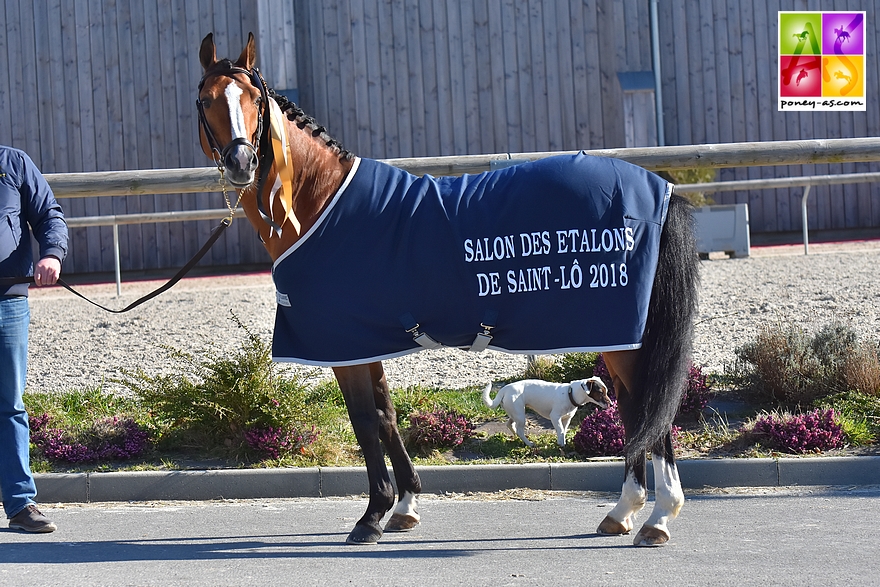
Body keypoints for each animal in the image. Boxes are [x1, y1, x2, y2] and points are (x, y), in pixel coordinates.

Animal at [482, 378, 612, 448]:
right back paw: (529, 443)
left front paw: (561, 442)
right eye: (600, 392)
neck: (570, 393)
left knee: (510, 424)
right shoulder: (555, 417)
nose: (611, 404)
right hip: (520, 414)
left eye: (606, 391)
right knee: (519, 430)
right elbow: (560, 431)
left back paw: (516, 436)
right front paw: (562, 445)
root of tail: (505, 389)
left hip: (515, 413)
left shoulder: (566, 419)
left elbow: (563, 431)